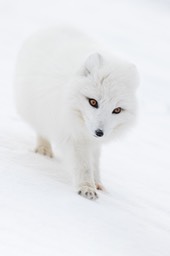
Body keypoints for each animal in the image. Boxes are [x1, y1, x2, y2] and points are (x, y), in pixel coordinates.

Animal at [14, 28, 139, 200]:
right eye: (93, 102)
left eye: (117, 110)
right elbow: (83, 165)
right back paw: (43, 149)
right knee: (42, 129)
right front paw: (86, 188)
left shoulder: (92, 142)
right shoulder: (73, 136)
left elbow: (94, 162)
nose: (99, 133)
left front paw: (97, 183)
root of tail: (54, 27)